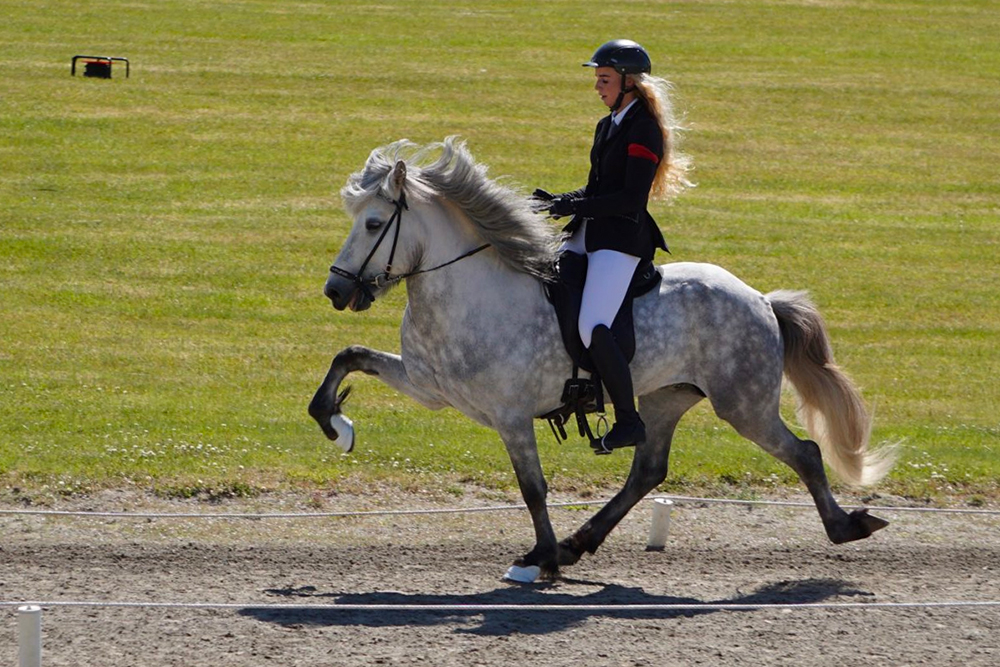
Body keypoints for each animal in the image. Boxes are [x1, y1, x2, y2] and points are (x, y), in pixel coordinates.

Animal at [308, 138, 896, 580]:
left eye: (374, 224)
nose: (336, 292)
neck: (468, 293)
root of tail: (761, 300)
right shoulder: (428, 387)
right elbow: (349, 356)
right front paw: (337, 426)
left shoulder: (511, 415)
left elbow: (533, 488)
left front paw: (538, 558)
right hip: (664, 398)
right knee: (648, 470)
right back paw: (578, 542)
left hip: (743, 404)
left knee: (805, 453)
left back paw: (847, 527)